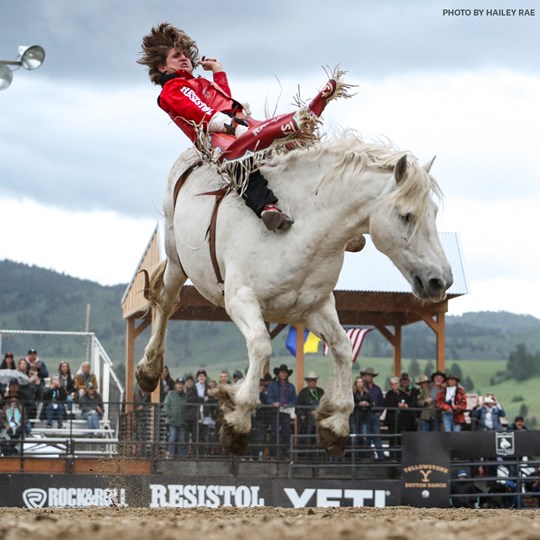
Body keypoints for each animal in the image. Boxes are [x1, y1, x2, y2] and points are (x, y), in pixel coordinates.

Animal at [137, 131, 454, 456]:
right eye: (406, 215)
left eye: (434, 213)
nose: (439, 281)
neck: (303, 229)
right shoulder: (239, 299)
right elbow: (261, 345)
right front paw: (237, 422)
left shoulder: (316, 306)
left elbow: (342, 347)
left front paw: (336, 424)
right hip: (177, 257)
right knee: (167, 302)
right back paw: (148, 370)